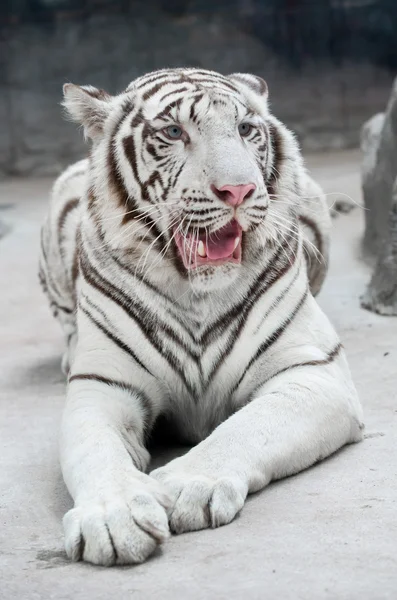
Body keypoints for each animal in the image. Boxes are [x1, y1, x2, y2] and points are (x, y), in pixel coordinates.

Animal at [39, 69, 362, 568]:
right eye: (174, 132)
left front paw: (183, 486)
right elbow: (94, 449)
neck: (197, 294)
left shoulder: (313, 371)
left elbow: (246, 427)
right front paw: (113, 517)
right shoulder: (103, 385)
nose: (238, 191)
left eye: (246, 129)